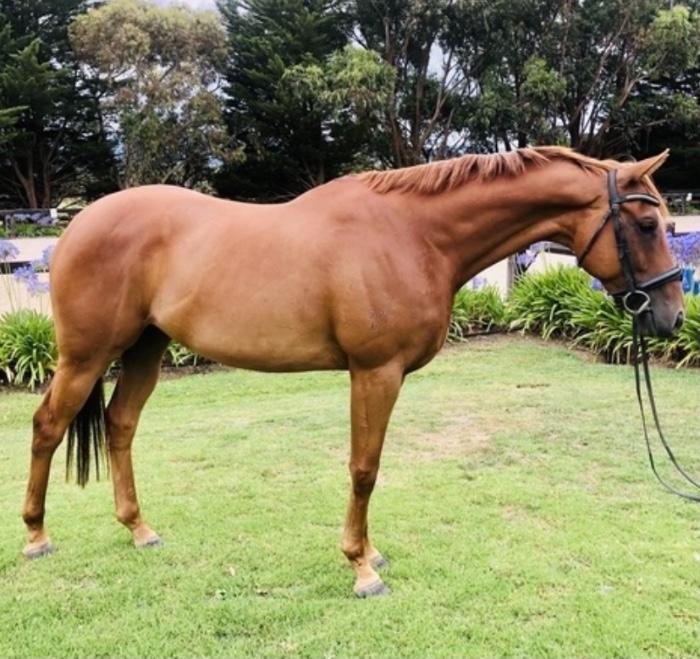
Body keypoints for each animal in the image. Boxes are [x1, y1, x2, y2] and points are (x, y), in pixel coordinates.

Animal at [21, 146, 683, 598]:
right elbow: (365, 468)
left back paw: (139, 529)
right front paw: (362, 567)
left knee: (120, 424)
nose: (673, 316)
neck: (413, 235)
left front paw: (370, 552)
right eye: (648, 224)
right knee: (48, 426)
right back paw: (36, 537)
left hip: (146, 349)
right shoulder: (375, 372)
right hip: (86, 357)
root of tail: (75, 227)